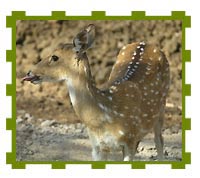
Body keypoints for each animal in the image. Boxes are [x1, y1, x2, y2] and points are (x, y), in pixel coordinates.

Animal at [23, 24, 170, 161]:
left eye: (55, 57)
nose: (29, 72)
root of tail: (145, 42)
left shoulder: (130, 139)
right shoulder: (98, 146)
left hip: (161, 107)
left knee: (159, 140)